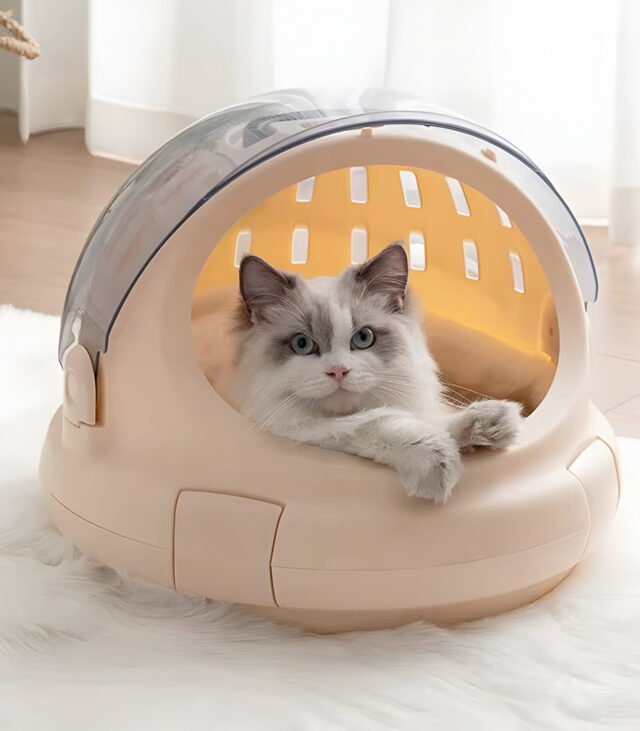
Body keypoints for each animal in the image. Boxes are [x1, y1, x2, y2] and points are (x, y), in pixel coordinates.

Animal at [234, 243, 522, 503]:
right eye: (302, 344)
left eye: (363, 338)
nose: (338, 371)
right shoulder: (299, 429)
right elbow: (377, 422)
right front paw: (438, 458)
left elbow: (433, 418)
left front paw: (492, 422)